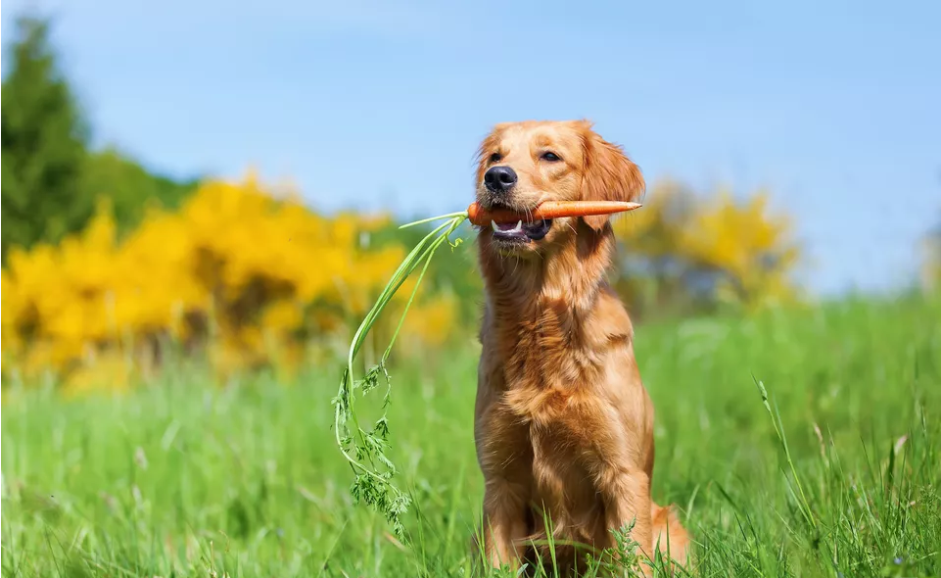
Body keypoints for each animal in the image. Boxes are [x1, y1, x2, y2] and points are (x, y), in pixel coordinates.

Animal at [474, 118, 688, 572]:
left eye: (550, 156)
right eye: (495, 156)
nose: (496, 178)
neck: (540, 320)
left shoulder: (622, 473)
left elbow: (634, 560)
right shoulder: (500, 481)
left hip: (668, 526)